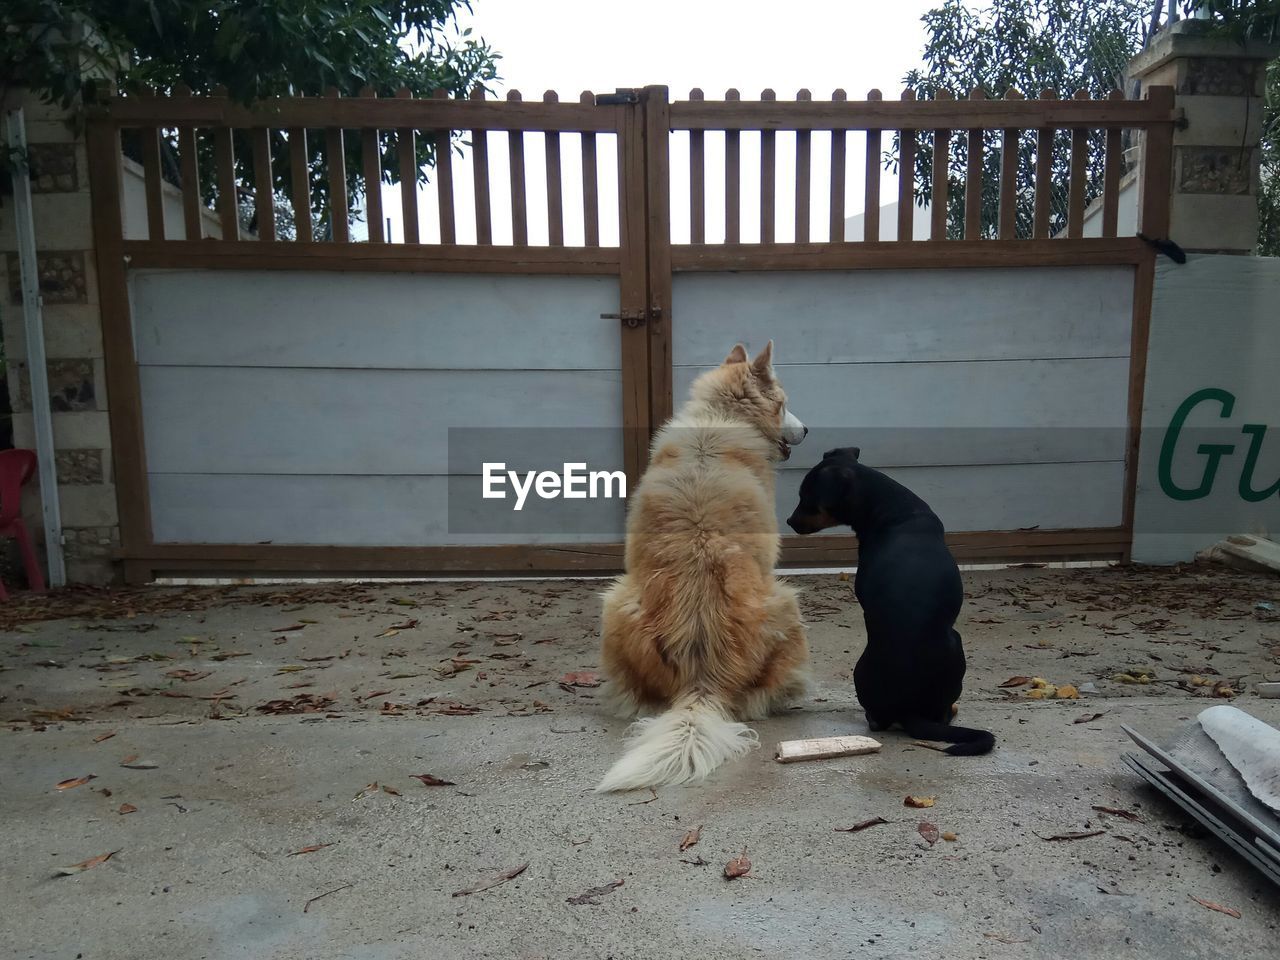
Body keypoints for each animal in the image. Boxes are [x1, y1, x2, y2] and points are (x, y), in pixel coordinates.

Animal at [591, 343, 808, 793]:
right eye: (783, 403)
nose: (808, 431)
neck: (720, 418)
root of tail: (701, 676)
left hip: (614, 602)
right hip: (789, 602)